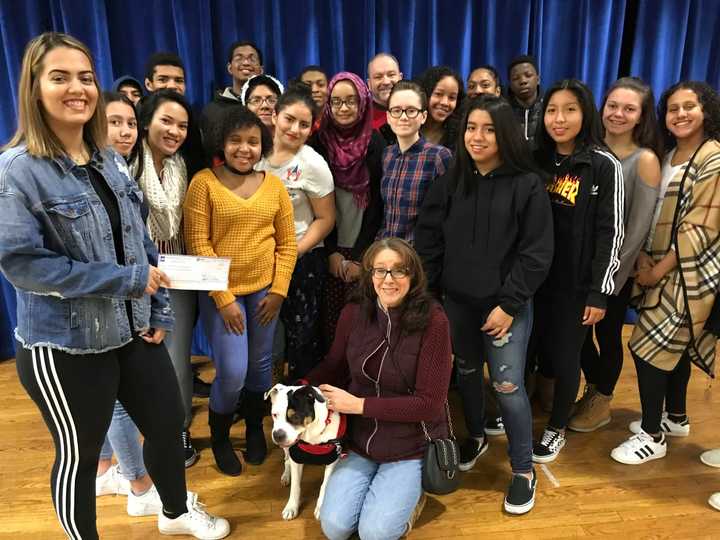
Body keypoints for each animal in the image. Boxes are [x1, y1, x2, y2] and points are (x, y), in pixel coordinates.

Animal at [264, 382, 346, 520]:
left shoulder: (333, 460)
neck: (312, 435)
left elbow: (325, 484)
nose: (277, 435)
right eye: (274, 414)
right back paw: (286, 476)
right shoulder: (296, 457)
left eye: (296, 417)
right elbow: (295, 486)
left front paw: (320, 507)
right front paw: (291, 507)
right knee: (286, 461)